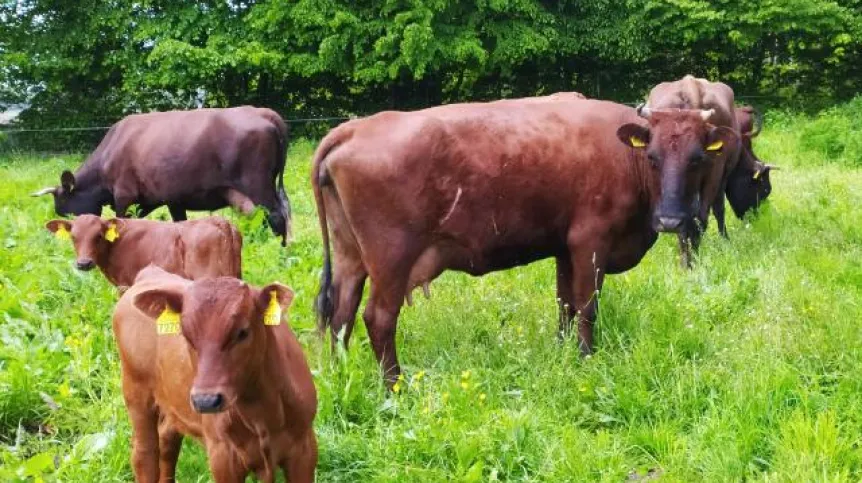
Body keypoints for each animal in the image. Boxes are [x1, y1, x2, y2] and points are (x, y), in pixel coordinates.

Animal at [31, 108, 294, 248]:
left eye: (67, 212)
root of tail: (264, 112)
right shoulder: (169, 199)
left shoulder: (124, 195)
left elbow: (121, 222)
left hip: (257, 185)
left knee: (275, 216)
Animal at [114, 266, 318, 483]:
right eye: (186, 335)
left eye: (242, 332)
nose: (206, 401)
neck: (261, 412)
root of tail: (151, 273)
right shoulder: (223, 456)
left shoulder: (304, 449)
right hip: (136, 393)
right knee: (144, 454)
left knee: (167, 440)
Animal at [310, 96, 716, 384]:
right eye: (653, 157)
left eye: (697, 158)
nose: (670, 219)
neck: (622, 156)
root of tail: (355, 128)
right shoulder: (591, 242)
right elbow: (586, 305)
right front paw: (586, 358)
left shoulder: (565, 247)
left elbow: (565, 303)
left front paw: (562, 350)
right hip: (391, 260)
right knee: (377, 318)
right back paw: (395, 386)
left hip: (349, 256)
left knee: (341, 314)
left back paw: (340, 373)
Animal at [624, 74, 744, 266]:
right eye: (652, 157)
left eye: (696, 158)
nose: (668, 222)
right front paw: (687, 261)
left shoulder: (714, 175)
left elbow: (701, 219)